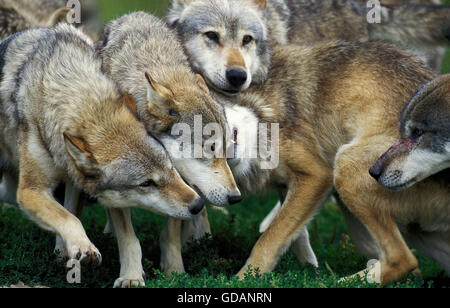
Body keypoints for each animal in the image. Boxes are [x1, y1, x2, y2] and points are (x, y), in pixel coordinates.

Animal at [0, 25, 204, 288]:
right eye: (146, 183)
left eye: (171, 167)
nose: (198, 204)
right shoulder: (30, 190)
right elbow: (68, 218)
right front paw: (84, 248)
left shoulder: (76, 184)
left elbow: (70, 213)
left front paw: (65, 254)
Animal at [163, 40, 450, 284]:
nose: (217, 148)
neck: (261, 112)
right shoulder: (291, 187)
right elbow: (289, 235)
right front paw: (308, 268)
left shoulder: (318, 175)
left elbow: (268, 239)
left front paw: (245, 279)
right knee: (408, 264)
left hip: (344, 166)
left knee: (403, 259)